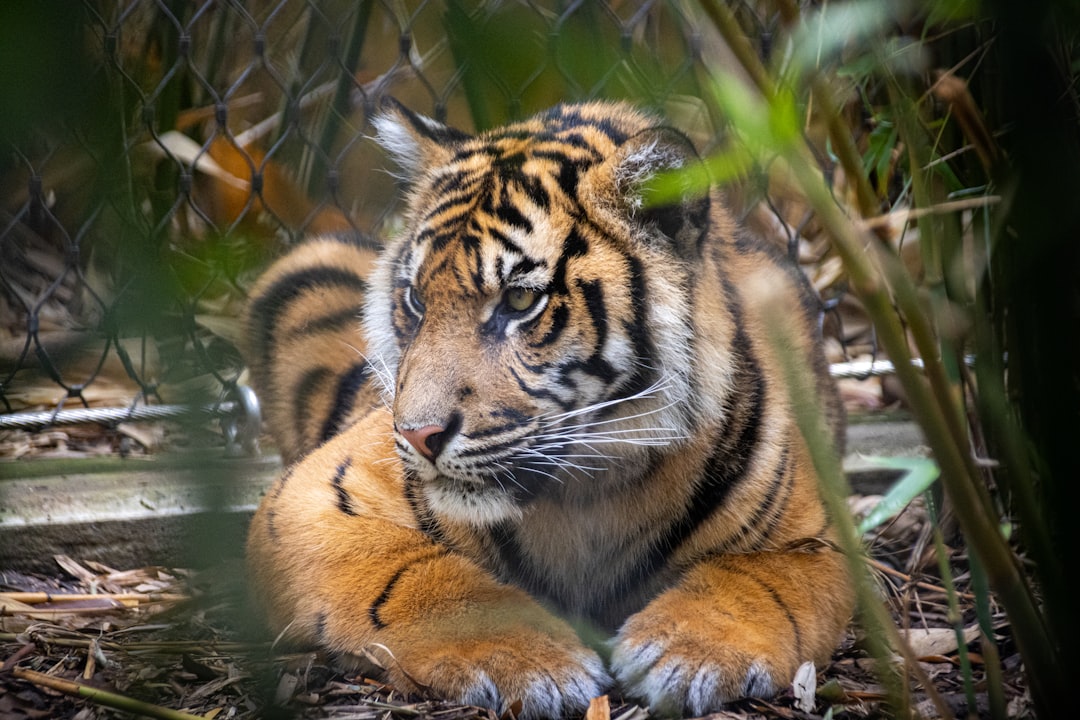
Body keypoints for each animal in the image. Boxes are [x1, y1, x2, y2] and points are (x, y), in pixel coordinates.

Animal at [243, 98, 851, 716]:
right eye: (416, 299)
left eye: (518, 300)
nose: (417, 435)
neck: (589, 492)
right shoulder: (310, 497)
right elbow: (413, 575)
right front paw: (529, 659)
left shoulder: (813, 538)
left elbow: (758, 583)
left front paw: (690, 650)